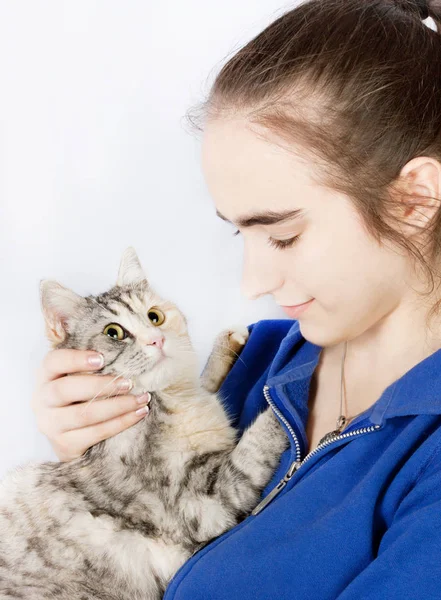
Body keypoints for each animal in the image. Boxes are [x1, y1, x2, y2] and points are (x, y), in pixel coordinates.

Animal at [0, 246, 288, 596]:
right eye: (114, 333)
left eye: (154, 316)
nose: (156, 340)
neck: (173, 400)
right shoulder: (204, 501)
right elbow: (256, 445)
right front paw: (294, 389)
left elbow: (206, 379)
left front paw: (226, 344)